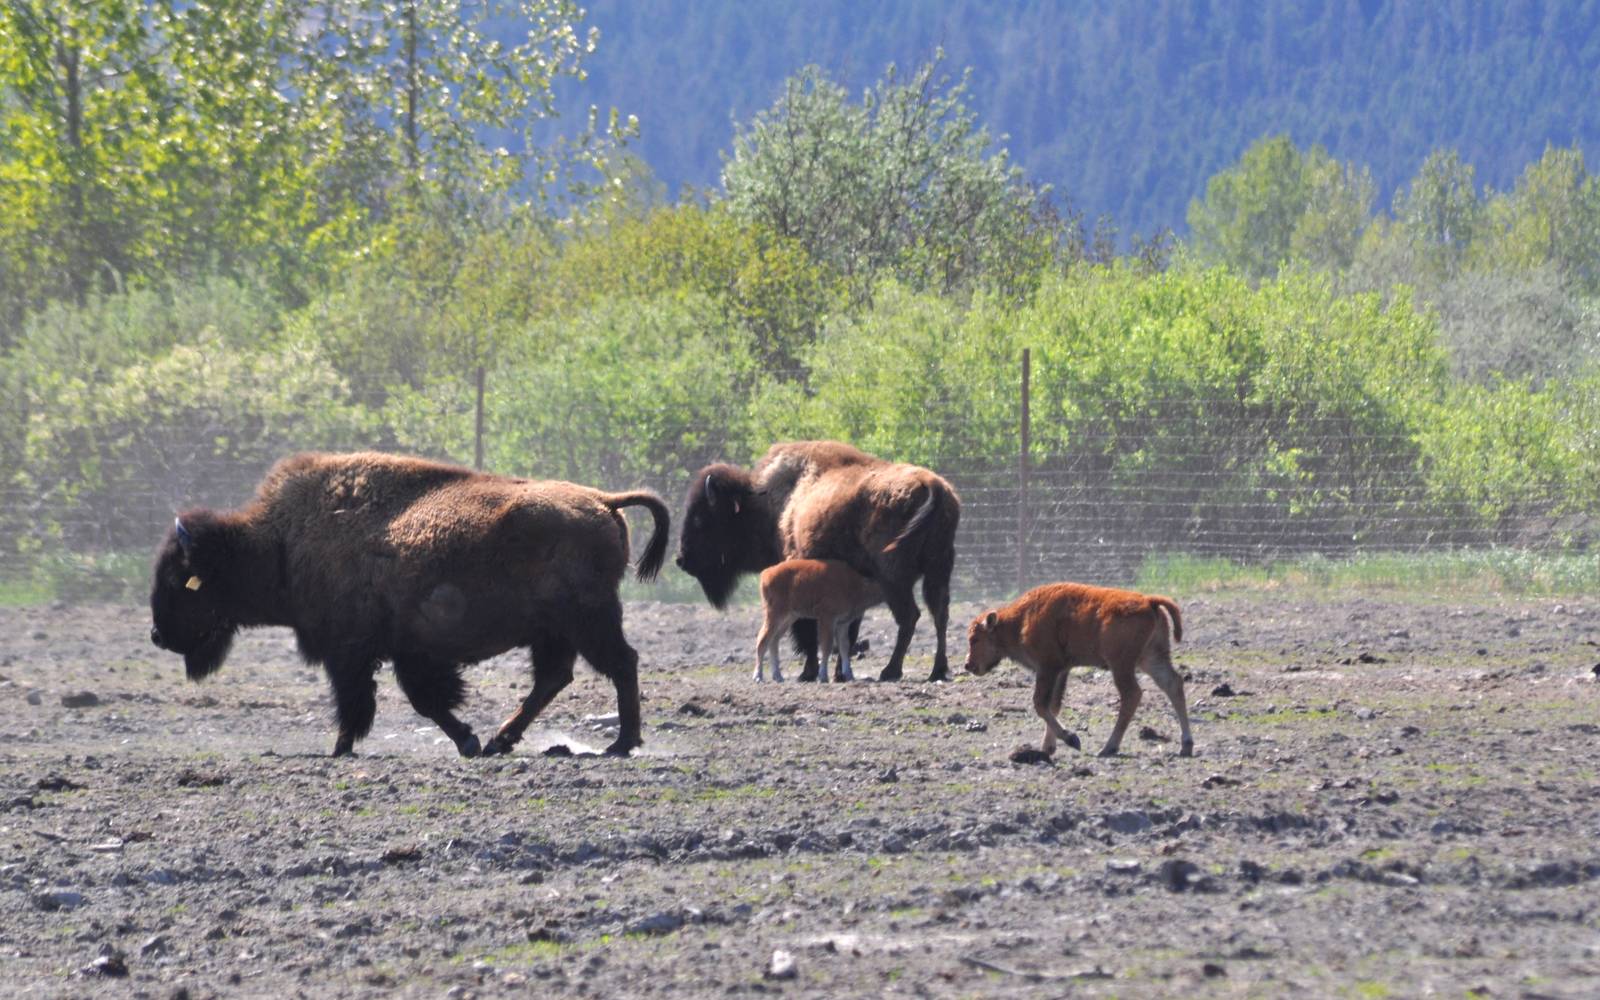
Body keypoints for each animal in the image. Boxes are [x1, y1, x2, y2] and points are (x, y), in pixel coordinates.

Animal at [149, 451, 669, 758]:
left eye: (180, 582)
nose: (157, 635)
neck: (279, 543)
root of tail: (602, 500)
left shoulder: (353, 652)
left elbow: (372, 701)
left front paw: (341, 749)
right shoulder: (403, 653)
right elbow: (419, 700)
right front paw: (470, 741)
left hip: (588, 620)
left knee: (619, 663)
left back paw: (620, 744)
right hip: (557, 630)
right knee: (555, 677)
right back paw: (502, 741)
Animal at [676, 441, 960, 682]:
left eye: (701, 519)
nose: (682, 560)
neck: (769, 504)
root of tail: (931, 485)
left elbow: (808, 629)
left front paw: (809, 672)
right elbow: (845, 630)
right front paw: (838, 672)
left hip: (894, 578)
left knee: (909, 616)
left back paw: (891, 670)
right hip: (938, 571)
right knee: (940, 615)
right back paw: (937, 670)